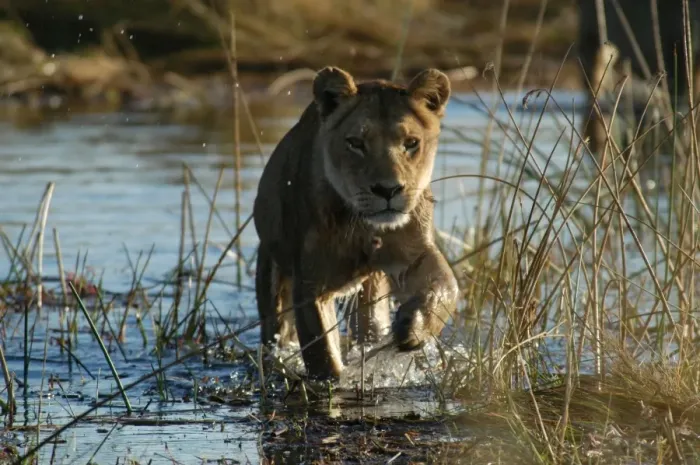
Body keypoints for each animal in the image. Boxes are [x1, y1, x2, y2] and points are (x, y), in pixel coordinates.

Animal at [252, 66, 459, 379]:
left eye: (411, 143)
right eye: (356, 143)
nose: (388, 190)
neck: (364, 225)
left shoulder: (413, 251)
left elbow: (447, 284)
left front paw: (413, 327)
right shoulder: (311, 284)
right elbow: (322, 353)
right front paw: (334, 384)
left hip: (371, 293)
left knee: (370, 325)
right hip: (272, 280)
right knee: (276, 332)